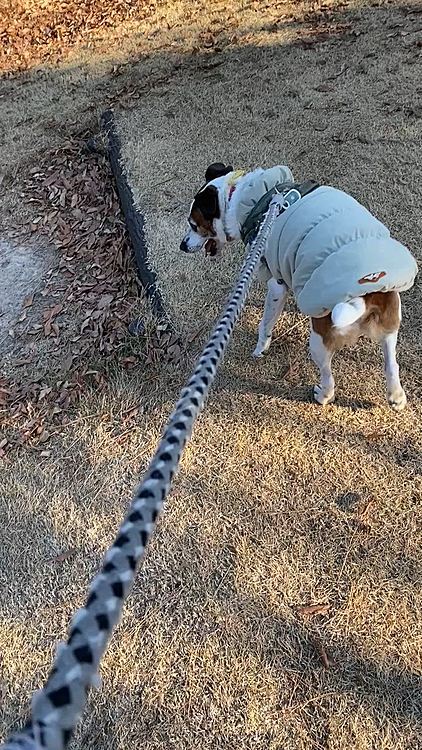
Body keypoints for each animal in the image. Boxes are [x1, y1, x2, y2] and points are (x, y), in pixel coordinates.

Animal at [179, 163, 416, 412]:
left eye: (194, 225)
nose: (182, 246)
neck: (249, 198)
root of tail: (368, 291)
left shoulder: (276, 284)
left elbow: (265, 324)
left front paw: (259, 349)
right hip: (389, 326)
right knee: (392, 365)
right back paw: (396, 397)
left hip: (319, 340)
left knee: (329, 378)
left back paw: (322, 395)